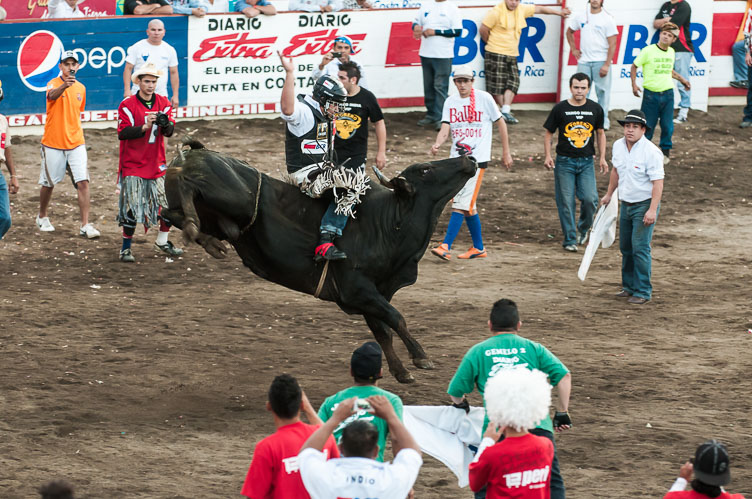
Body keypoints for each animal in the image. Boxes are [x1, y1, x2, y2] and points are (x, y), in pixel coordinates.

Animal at [164, 141, 476, 382]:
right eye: (426, 169)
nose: (469, 159)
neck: (389, 222)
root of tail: (194, 153)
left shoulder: (371, 295)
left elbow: (383, 330)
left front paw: (401, 371)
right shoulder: (358, 289)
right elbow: (396, 318)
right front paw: (421, 358)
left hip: (220, 217)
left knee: (170, 213)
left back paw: (209, 242)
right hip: (232, 199)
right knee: (185, 192)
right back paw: (195, 226)